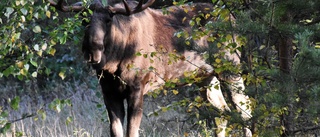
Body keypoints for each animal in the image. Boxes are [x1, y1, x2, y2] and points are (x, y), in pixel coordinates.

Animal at [49, 0, 252, 136]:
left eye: (108, 20)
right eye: (84, 20)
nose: (92, 50)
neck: (115, 63)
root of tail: (235, 20)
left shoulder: (137, 86)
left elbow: (132, 132)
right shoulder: (108, 91)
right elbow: (115, 131)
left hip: (231, 68)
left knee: (244, 111)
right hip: (205, 77)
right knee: (222, 114)